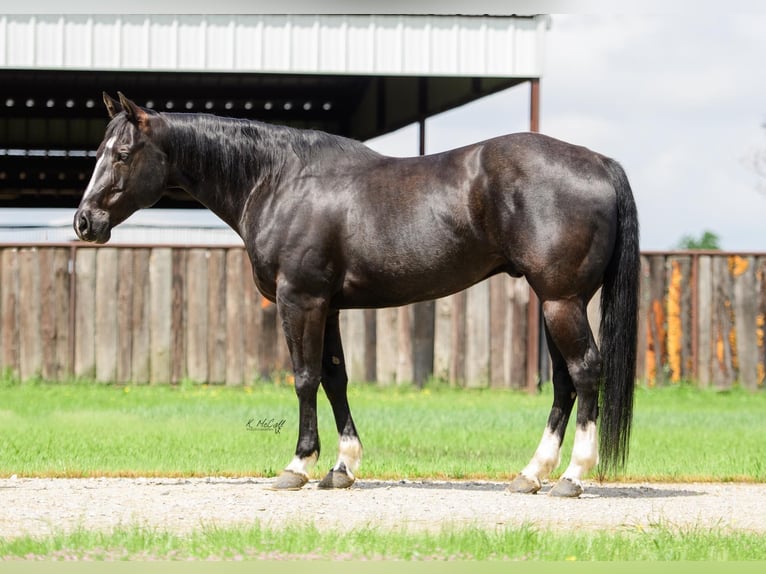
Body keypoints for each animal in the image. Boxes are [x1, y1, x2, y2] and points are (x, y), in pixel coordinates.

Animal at [75, 92, 640, 498]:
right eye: (98, 152)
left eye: (122, 154)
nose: (85, 222)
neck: (279, 180)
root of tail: (599, 161)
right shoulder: (327, 307)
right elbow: (335, 378)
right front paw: (342, 467)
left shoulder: (299, 300)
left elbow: (304, 379)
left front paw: (298, 465)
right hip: (554, 302)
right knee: (563, 382)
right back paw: (531, 474)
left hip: (562, 300)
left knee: (585, 372)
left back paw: (572, 477)